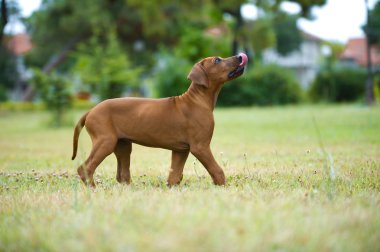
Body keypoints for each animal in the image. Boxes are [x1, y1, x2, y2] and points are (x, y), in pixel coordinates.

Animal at [72, 53, 248, 187]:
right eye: (217, 60)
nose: (240, 56)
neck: (198, 100)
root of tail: (91, 110)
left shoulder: (181, 150)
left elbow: (175, 176)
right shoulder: (200, 147)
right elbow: (217, 170)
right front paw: (223, 187)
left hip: (122, 145)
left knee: (122, 174)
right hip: (105, 141)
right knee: (84, 168)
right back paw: (93, 188)